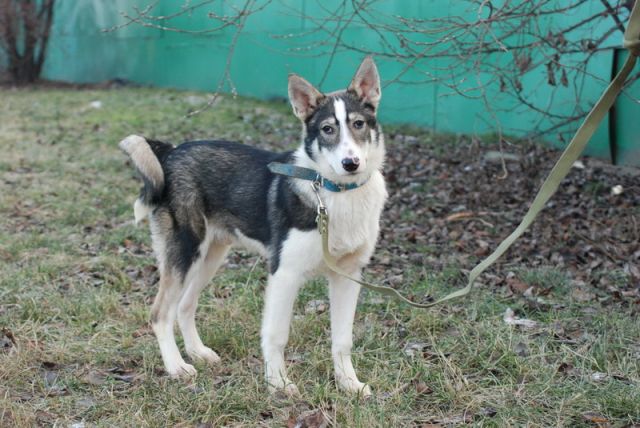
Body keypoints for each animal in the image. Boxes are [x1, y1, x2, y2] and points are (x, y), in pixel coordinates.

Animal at [121, 56, 390, 398]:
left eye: (358, 124)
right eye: (327, 129)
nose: (351, 163)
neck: (337, 192)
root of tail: (171, 151)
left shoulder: (348, 275)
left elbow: (343, 339)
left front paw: (349, 384)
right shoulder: (284, 274)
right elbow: (277, 335)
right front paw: (278, 383)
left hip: (210, 256)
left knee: (184, 305)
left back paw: (198, 352)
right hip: (184, 251)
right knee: (160, 314)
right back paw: (176, 366)